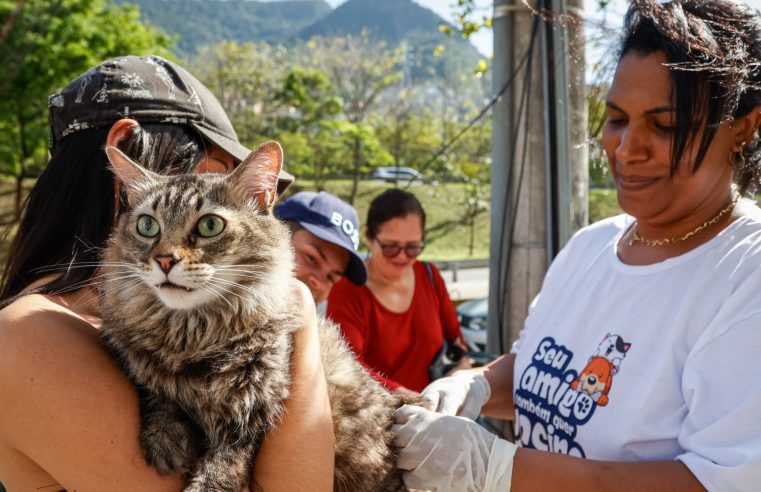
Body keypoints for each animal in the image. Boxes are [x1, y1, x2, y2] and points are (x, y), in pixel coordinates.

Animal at [98, 142, 418, 492]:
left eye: (210, 226)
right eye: (147, 226)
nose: (165, 260)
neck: (191, 335)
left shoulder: (251, 415)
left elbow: (218, 476)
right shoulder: (134, 357)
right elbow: (155, 390)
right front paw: (166, 440)